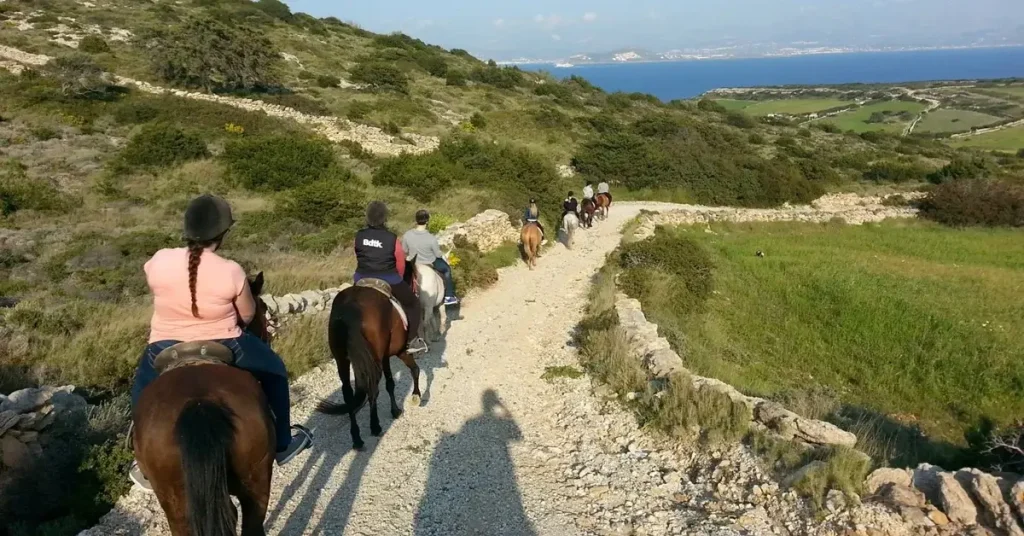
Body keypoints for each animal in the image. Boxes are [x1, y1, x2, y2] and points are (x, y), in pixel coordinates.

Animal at [315, 264, 419, 448]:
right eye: (413, 277)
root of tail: (349, 310)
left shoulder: (383, 357)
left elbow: (390, 383)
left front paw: (396, 409)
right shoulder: (397, 353)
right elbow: (411, 371)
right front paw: (411, 400)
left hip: (343, 360)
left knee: (349, 394)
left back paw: (356, 437)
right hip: (373, 359)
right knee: (373, 389)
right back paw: (375, 426)